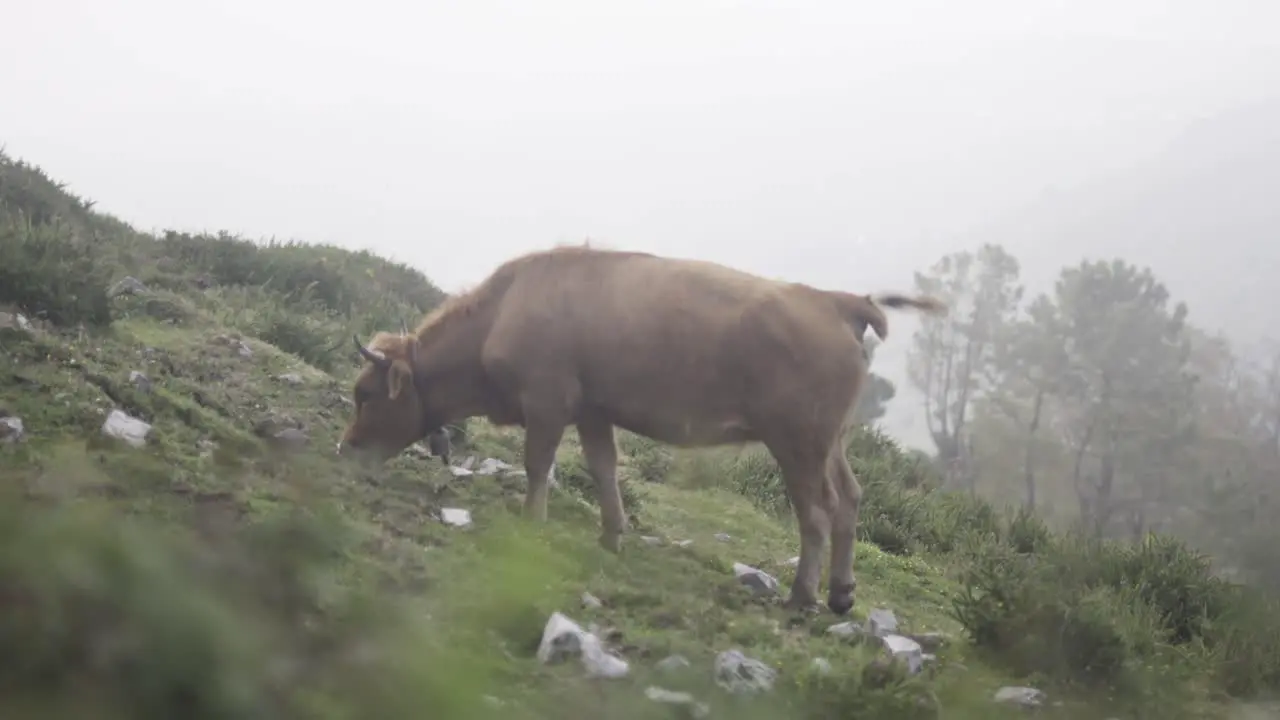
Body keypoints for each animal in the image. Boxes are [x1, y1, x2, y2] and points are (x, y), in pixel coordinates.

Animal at [335, 243, 947, 614]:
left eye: (366, 394)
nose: (347, 448)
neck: (504, 311)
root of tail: (833, 300)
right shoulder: (593, 411)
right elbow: (604, 469)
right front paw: (612, 533)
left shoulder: (548, 402)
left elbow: (538, 465)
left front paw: (532, 522)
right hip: (831, 443)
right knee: (850, 500)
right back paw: (841, 593)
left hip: (798, 443)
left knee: (817, 512)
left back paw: (801, 595)